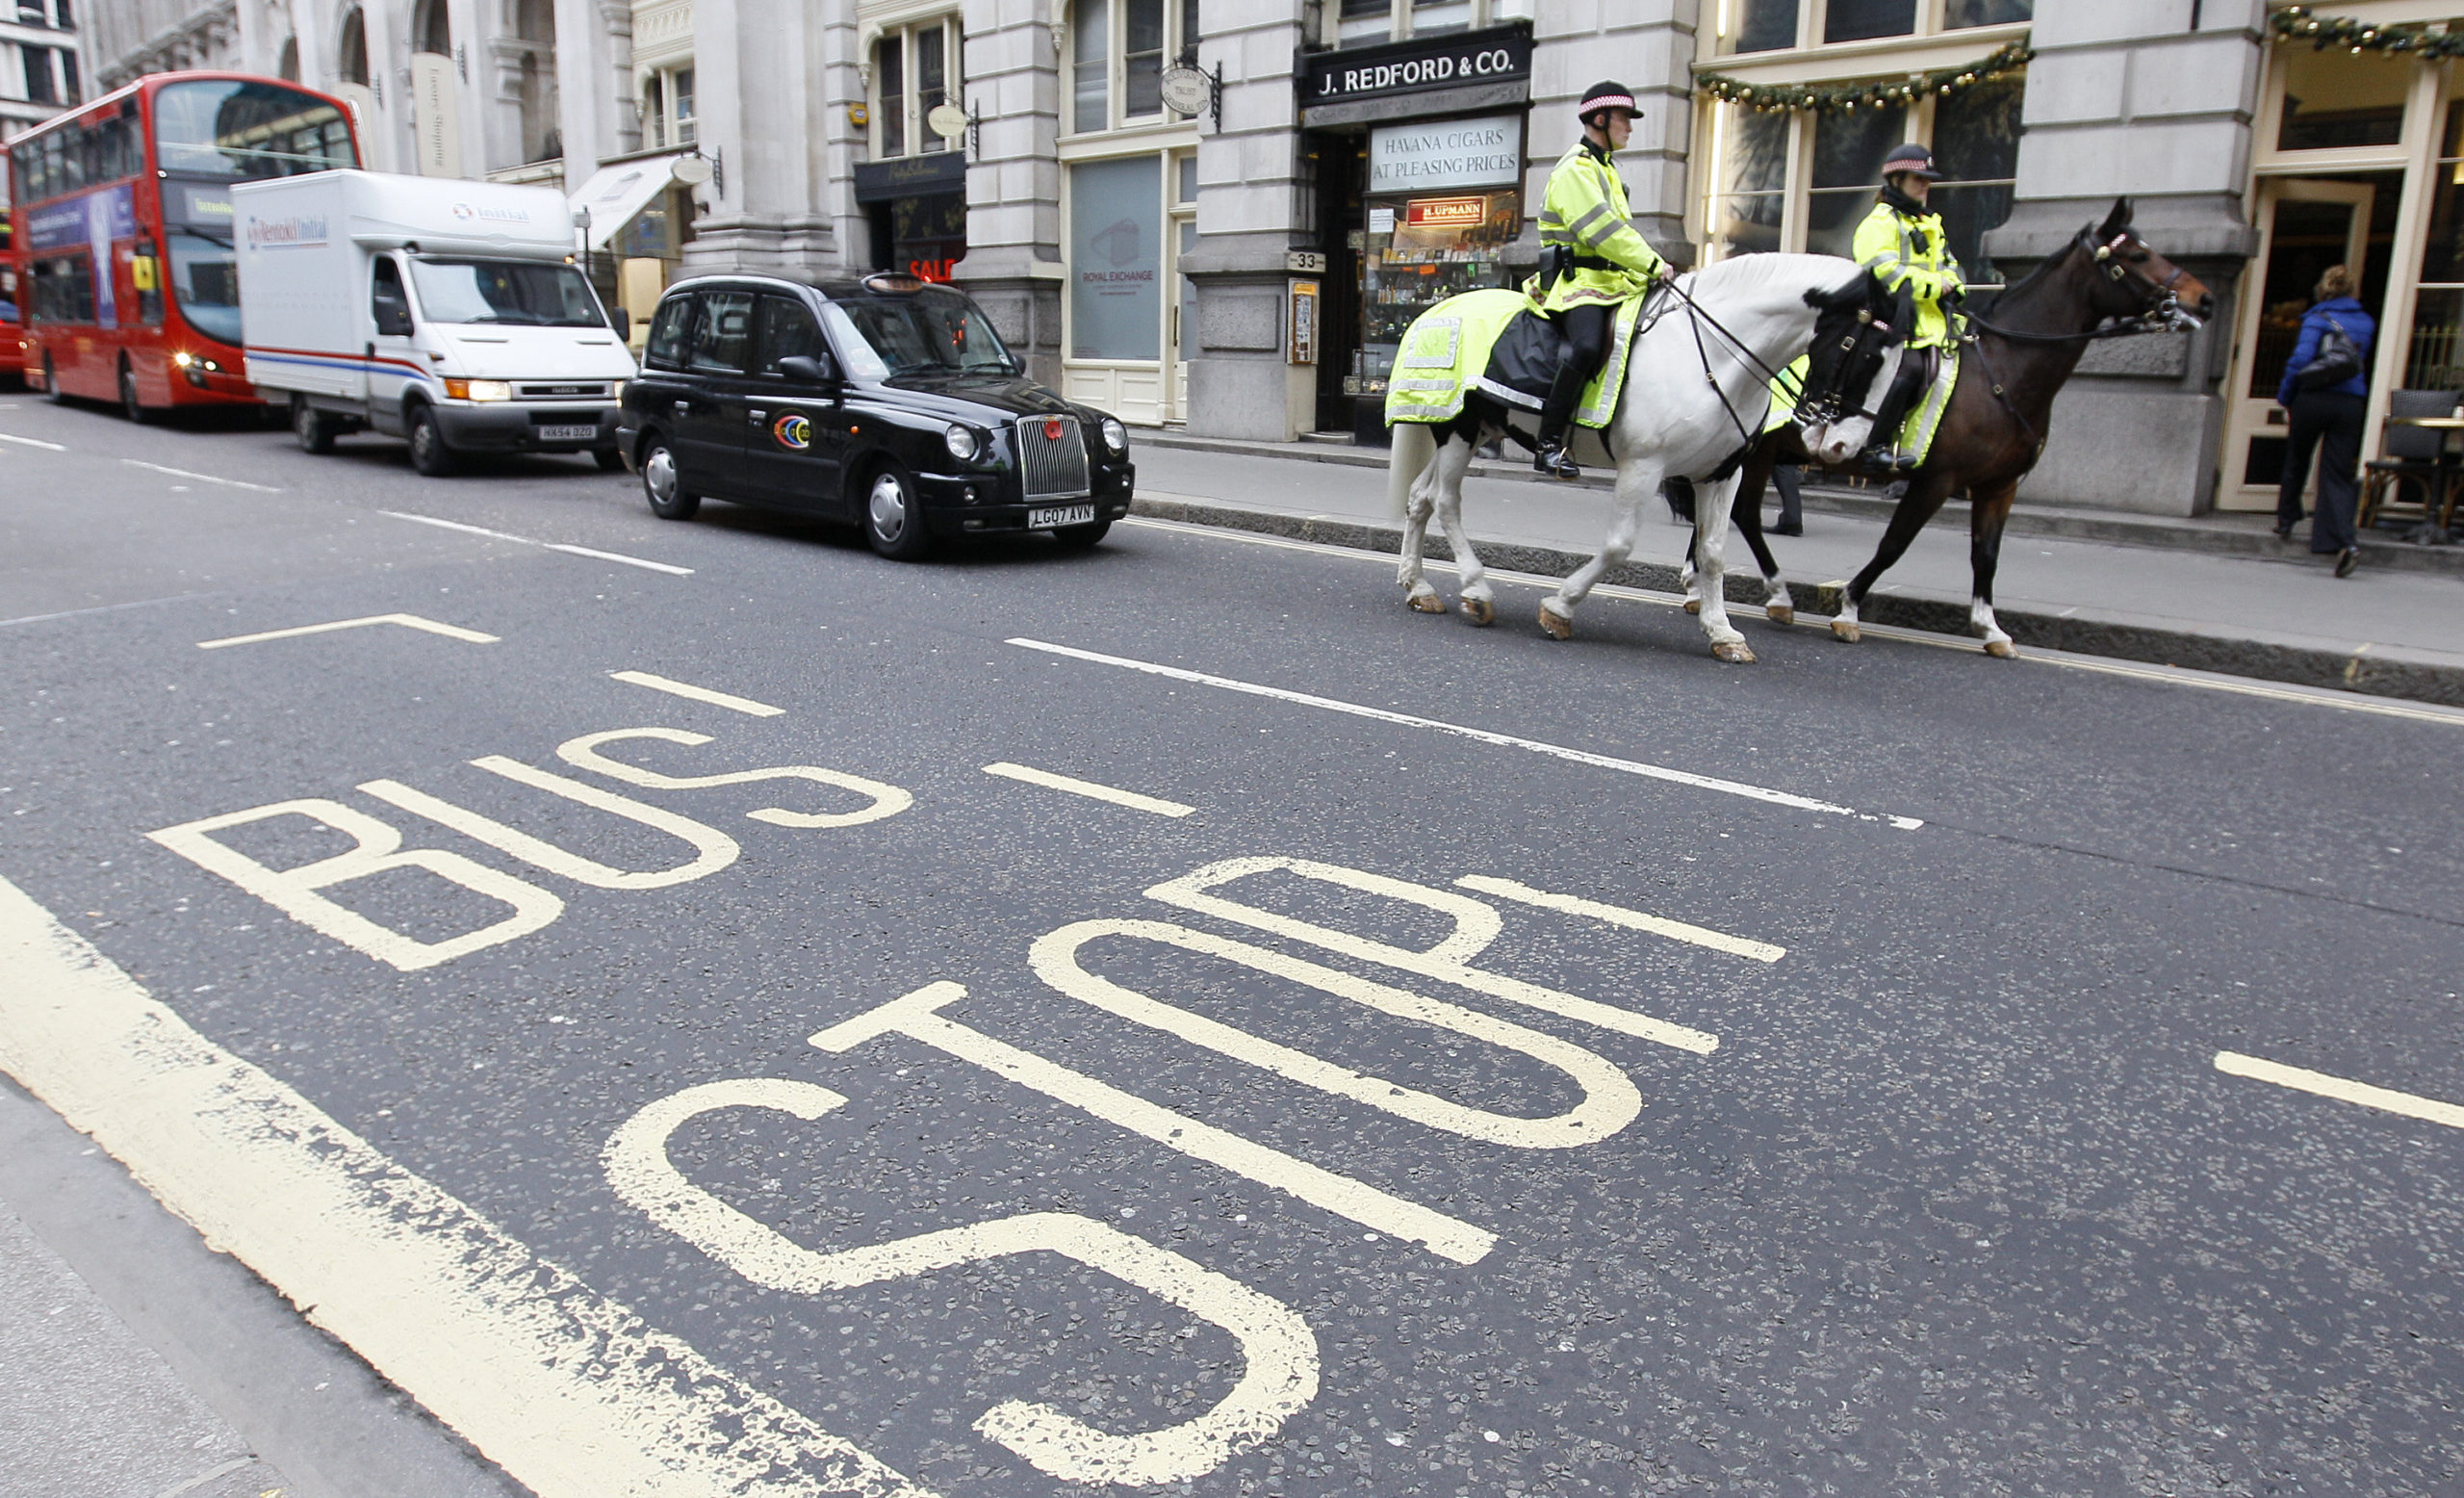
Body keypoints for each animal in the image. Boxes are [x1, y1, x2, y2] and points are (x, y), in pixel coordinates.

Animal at [1389, 254, 1902, 664]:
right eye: (1867, 355)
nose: (1847, 447)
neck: (1713, 357)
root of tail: (1436, 309)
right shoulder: (1644, 466)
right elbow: (1620, 545)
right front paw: (1560, 608)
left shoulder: (1722, 474)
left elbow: (1713, 553)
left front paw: (1723, 632)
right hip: (1458, 429)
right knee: (1446, 501)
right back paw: (1475, 589)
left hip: (1469, 429)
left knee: (1421, 498)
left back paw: (1419, 587)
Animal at [1714, 194, 2218, 655]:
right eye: (2137, 256)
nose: (2205, 299)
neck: (2002, 372)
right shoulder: (1938, 478)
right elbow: (1894, 544)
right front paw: (1850, 608)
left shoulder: (1999, 485)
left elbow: (1986, 554)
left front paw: (1990, 627)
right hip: (1761, 451)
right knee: (1746, 514)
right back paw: (1776, 594)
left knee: (1740, 513)